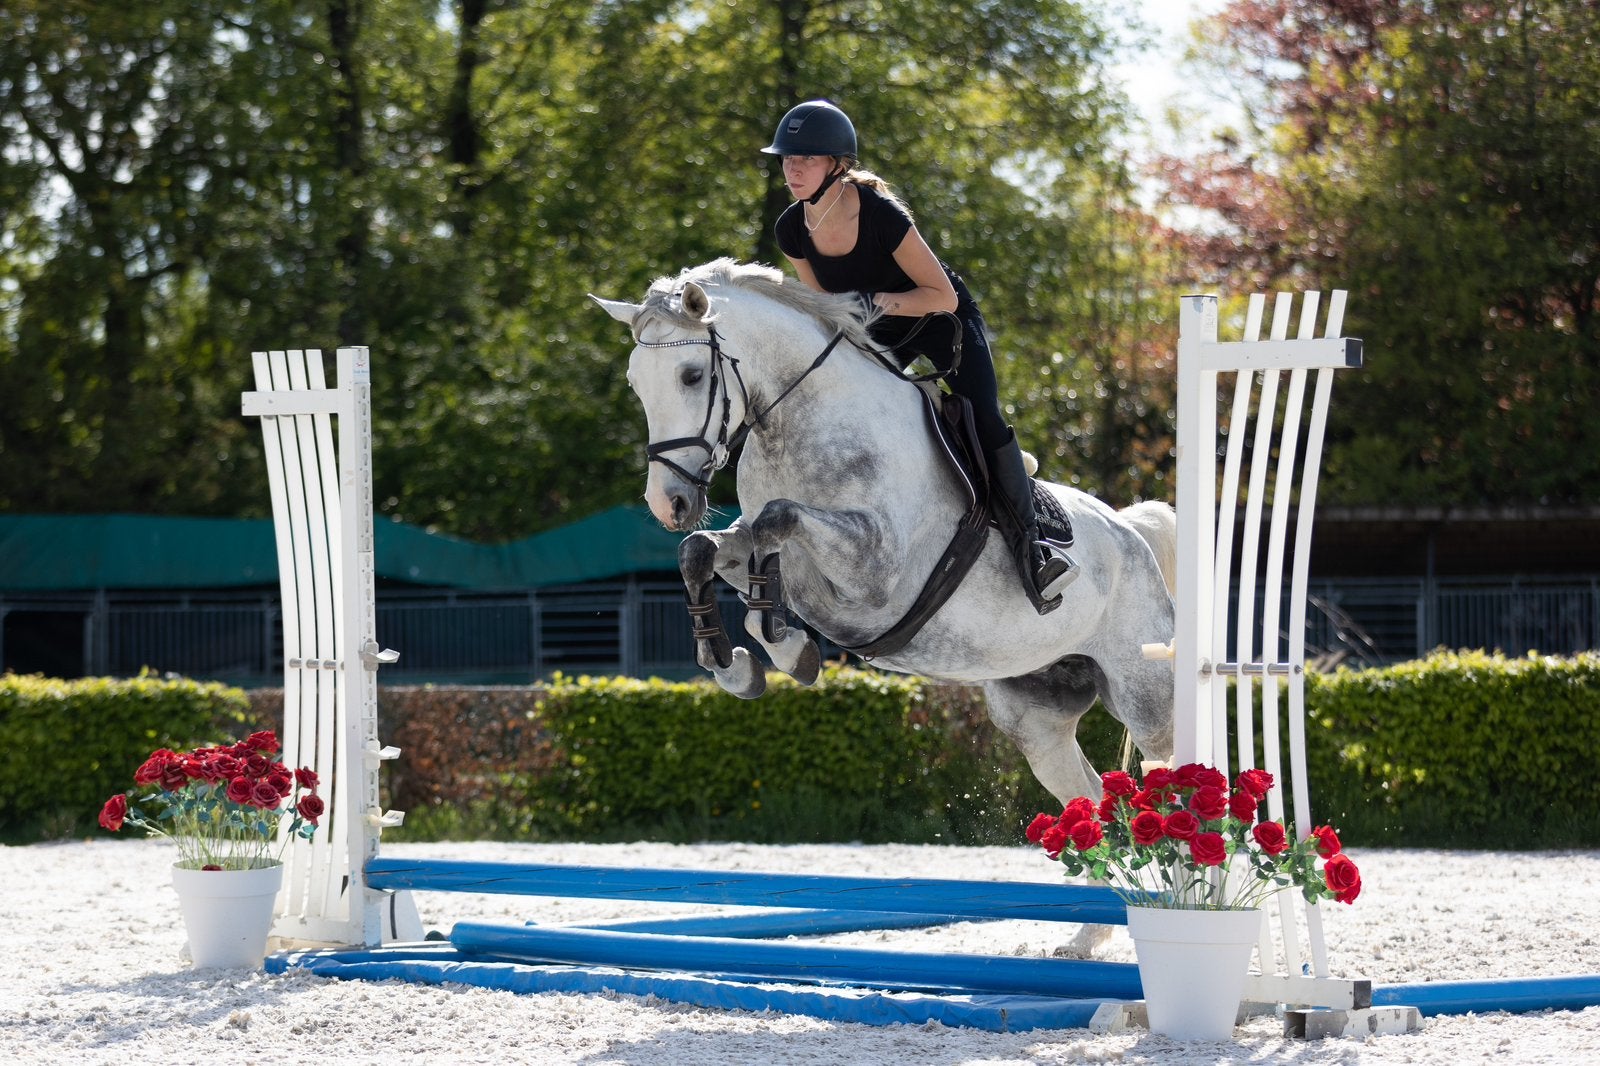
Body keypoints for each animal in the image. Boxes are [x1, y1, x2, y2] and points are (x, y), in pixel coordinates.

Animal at [593, 258, 1176, 808]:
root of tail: (1131, 532)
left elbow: (777, 521)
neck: (801, 424)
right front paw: (736, 666)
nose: (668, 503)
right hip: (1036, 711)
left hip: (1146, 695)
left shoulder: (873, 572)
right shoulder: (763, 547)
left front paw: (785, 652)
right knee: (1091, 794)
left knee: (1167, 769)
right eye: (635, 383)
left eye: (692, 376)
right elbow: (706, 549)